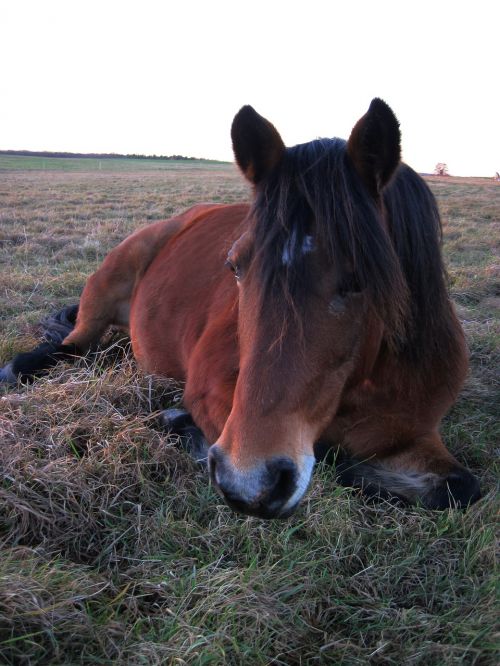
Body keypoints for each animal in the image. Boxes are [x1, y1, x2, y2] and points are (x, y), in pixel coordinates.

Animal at [1, 98, 482, 516]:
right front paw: (179, 423)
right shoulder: (213, 394)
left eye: (360, 278)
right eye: (235, 266)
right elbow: (327, 459)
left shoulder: (416, 433)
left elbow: (459, 488)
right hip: (104, 289)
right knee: (70, 347)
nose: (251, 482)